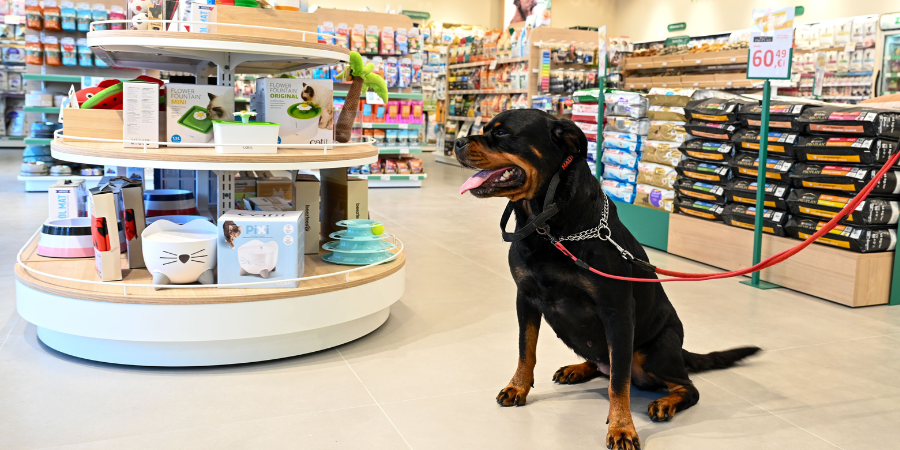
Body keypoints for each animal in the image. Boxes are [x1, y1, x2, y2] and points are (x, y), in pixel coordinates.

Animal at [458, 110, 760, 450]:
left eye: (501, 133)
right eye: (485, 128)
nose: (456, 143)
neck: (548, 227)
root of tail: (680, 352)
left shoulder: (616, 311)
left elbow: (619, 383)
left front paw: (622, 427)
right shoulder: (525, 298)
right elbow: (526, 350)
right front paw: (518, 387)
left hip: (652, 353)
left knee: (681, 385)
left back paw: (665, 402)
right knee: (604, 363)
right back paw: (577, 369)